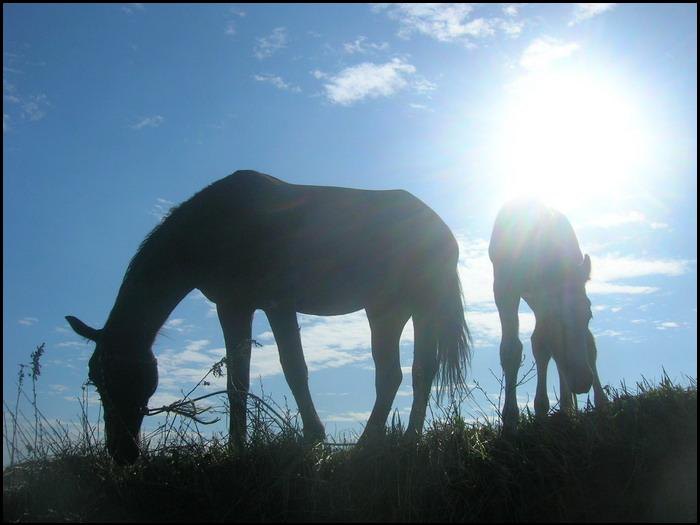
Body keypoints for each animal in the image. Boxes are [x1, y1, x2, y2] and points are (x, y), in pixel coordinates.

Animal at [67, 169, 470, 462]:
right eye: (96, 381)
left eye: (125, 377)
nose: (121, 453)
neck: (214, 227)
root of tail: (441, 230)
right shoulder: (234, 305)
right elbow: (240, 379)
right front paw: (240, 447)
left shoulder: (275, 305)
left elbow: (290, 369)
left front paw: (309, 439)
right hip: (402, 311)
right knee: (411, 373)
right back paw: (394, 441)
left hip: (402, 308)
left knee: (402, 374)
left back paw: (380, 443)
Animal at [486, 198, 608, 430]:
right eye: (555, 319)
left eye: (588, 316)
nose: (581, 380)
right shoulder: (505, 288)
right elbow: (513, 349)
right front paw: (511, 420)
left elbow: (583, 344)